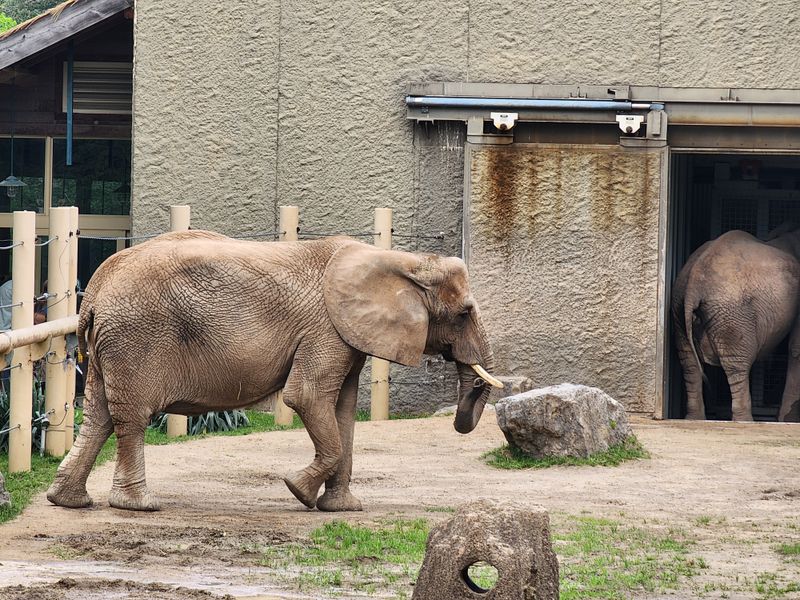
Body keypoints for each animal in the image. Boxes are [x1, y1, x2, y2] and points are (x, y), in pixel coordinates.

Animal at [46, 231, 501, 512]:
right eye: (464, 314)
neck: (402, 260)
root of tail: (94, 292)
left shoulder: (344, 334)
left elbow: (343, 410)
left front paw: (341, 509)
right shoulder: (326, 330)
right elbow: (307, 397)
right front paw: (297, 491)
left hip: (111, 344)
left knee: (99, 416)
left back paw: (68, 501)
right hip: (136, 337)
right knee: (131, 418)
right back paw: (140, 506)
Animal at [671, 226, 800, 422]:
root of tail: (694, 282)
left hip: (680, 305)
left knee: (689, 362)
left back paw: (694, 419)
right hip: (733, 313)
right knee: (736, 365)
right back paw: (746, 421)